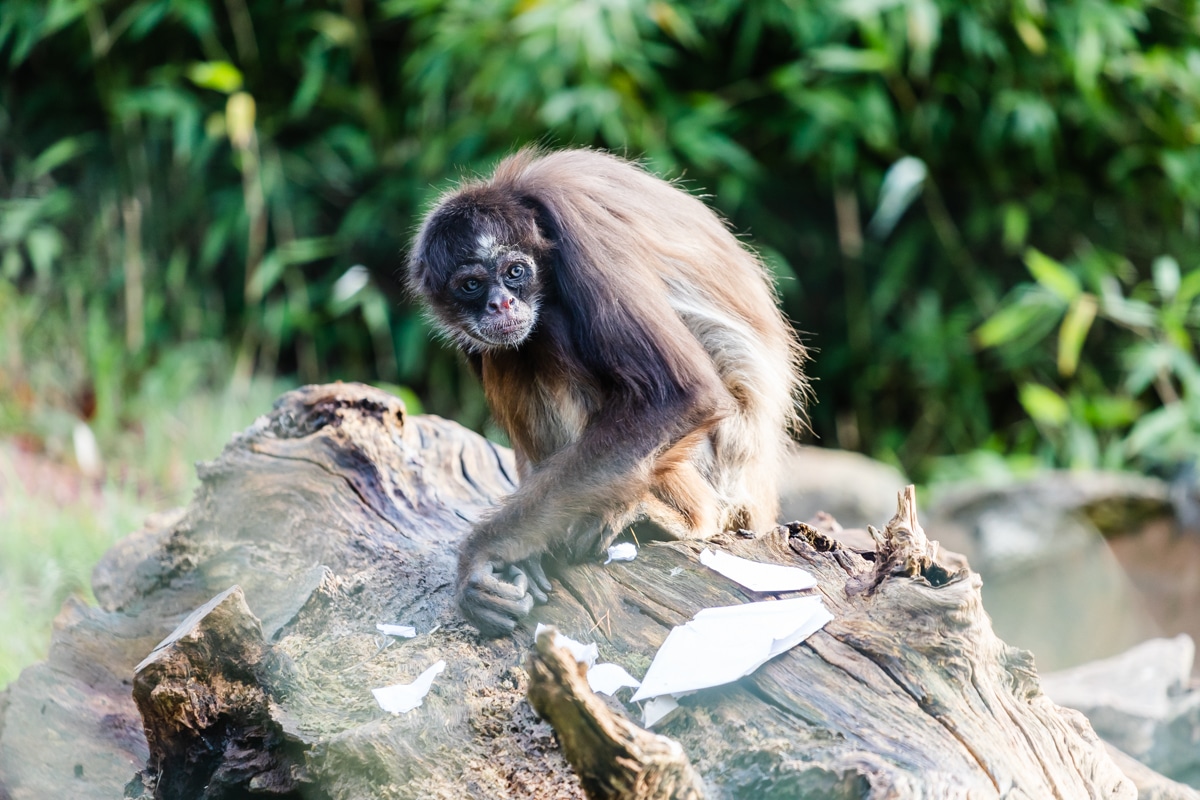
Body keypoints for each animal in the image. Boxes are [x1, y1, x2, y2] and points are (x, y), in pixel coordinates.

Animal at [407, 148, 805, 637]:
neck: (524, 198)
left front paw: (485, 552)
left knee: (545, 333)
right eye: (471, 285)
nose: (502, 303)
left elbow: (678, 396)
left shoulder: (581, 229)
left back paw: (681, 518)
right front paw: (522, 549)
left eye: (515, 272)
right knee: (510, 351)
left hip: (713, 464)